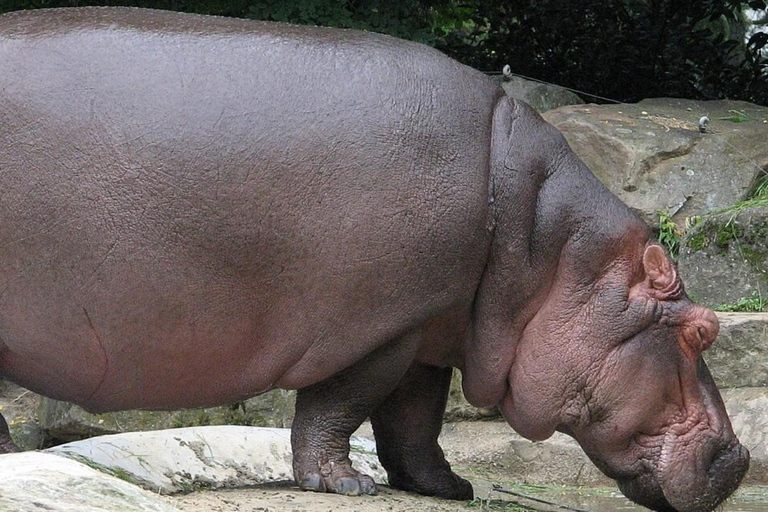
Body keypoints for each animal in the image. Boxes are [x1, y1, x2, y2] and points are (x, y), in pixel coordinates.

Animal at [0, 7, 748, 511]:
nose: (740, 458)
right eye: (701, 329)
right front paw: (347, 484)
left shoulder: (430, 323)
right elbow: (343, 404)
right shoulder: (376, 326)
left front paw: (448, 487)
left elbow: (415, 417)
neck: (553, 251)